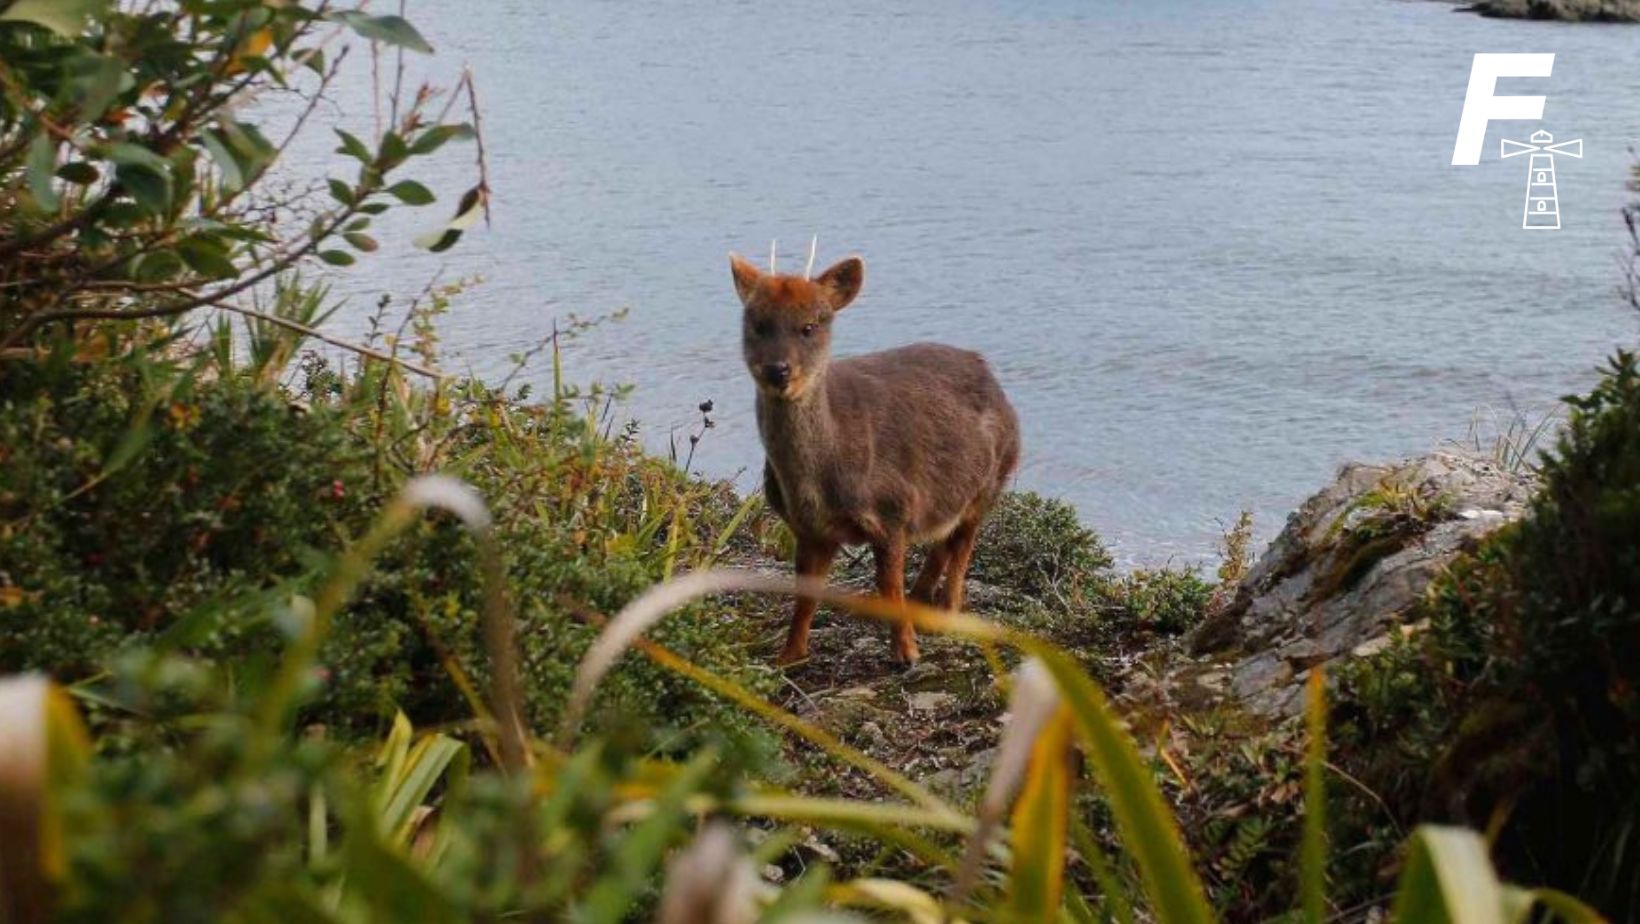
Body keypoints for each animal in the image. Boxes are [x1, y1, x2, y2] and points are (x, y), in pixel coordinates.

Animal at [728, 252, 1010, 666]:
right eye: (757, 324)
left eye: (809, 326)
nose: (778, 370)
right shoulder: (808, 528)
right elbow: (806, 592)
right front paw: (789, 655)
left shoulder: (894, 507)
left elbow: (888, 585)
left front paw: (907, 653)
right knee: (943, 541)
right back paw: (924, 604)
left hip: (992, 481)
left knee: (962, 545)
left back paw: (947, 614)